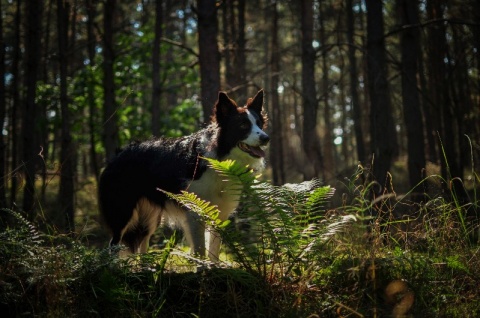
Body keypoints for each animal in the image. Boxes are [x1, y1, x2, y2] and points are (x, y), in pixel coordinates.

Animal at [97, 89, 270, 260]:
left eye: (259, 124)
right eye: (243, 125)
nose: (266, 138)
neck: (221, 162)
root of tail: (116, 156)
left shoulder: (219, 213)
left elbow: (214, 248)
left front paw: (214, 265)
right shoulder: (194, 212)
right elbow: (200, 249)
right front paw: (201, 265)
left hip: (150, 217)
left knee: (142, 243)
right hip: (122, 212)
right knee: (113, 245)